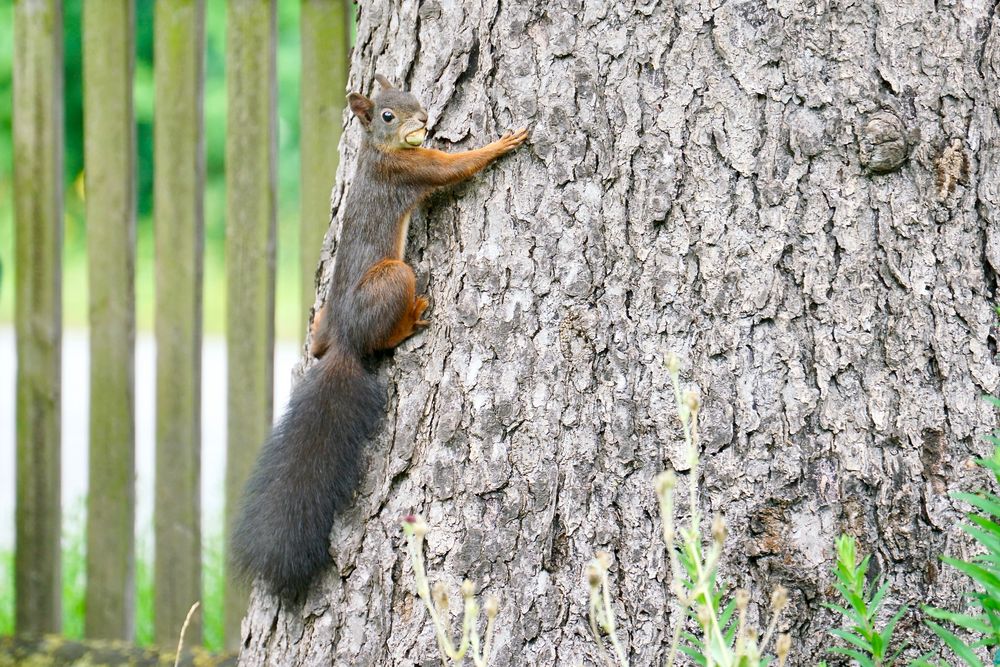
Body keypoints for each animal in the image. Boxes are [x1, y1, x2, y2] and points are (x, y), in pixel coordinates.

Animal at [230, 75, 528, 596]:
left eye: (413, 95)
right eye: (387, 115)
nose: (425, 119)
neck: (377, 149)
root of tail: (345, 342)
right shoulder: (408, 170)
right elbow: (455, 167)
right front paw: (502, 143)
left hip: (331, 324)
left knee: (319, 343)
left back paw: (317, 331)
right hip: (397, 275)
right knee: (387, 334)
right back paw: (413, 319)